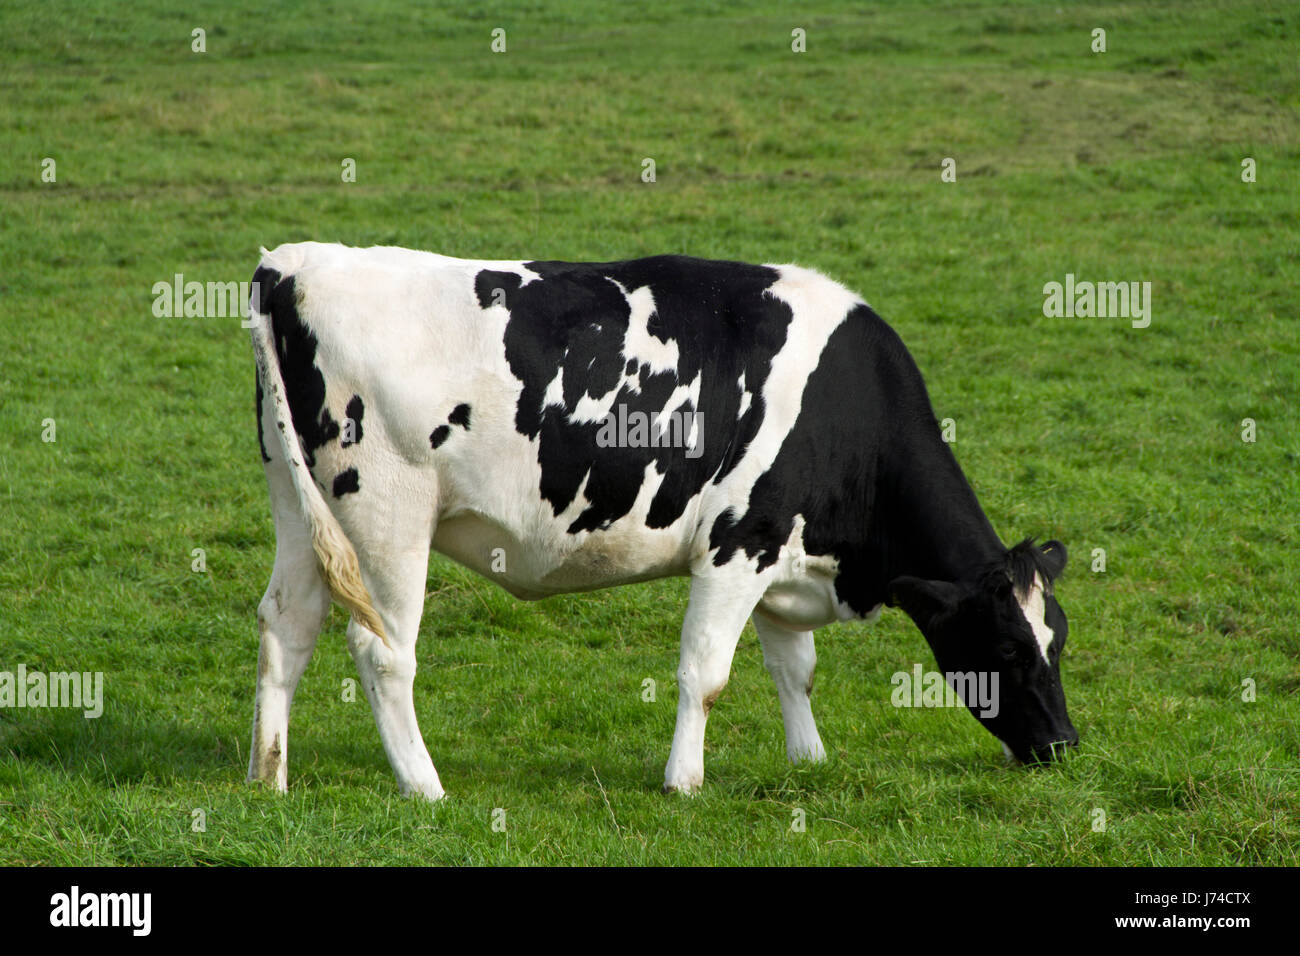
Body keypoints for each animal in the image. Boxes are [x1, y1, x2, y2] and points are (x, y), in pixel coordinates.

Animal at [244, 240, 1076, 801]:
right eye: (1007, 644)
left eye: (1058, 638)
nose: (1063, 744)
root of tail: (295, 264)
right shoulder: (739, 544)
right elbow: (705, 672)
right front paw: (684, 779)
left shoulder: (779, 552)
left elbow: (795, 667)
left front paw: (808, 759)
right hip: (387, 515)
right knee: (382, 652)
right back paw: (425, 786)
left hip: (298, 504)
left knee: (286, 624)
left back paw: (269, 777)